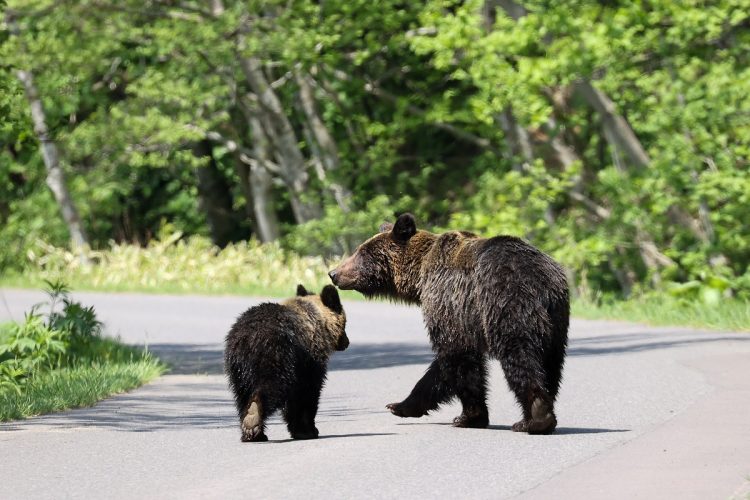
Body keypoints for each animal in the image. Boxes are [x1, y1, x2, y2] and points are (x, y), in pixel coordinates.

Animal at [328, 214, 568, 434]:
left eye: (362, 253)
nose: (333, 273)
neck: (419, 277)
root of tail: (540, 280)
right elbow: (443, 368)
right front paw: (401, 405)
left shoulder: (450, 303)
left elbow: (457, 355)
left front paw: (468, 417)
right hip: (555, 320)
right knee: (551, 363)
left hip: (507, 303)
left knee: (519, 356)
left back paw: (534, 419)